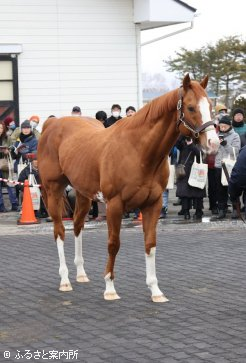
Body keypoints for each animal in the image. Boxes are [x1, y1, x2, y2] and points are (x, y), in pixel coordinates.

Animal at [38, 74, 219, 302]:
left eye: (211, 106)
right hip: (53, 189)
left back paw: (80, 274)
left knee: (78, 226)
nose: (213, 143)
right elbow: (113, 244)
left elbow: (150, 244)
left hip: (83, 193)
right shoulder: (115, 205)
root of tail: (52, 123)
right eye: (191, 107)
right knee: (60, 231)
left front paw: (155, 290)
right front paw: (109, 288)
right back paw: (65, 280)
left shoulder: (153, 204)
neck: (138, 151)